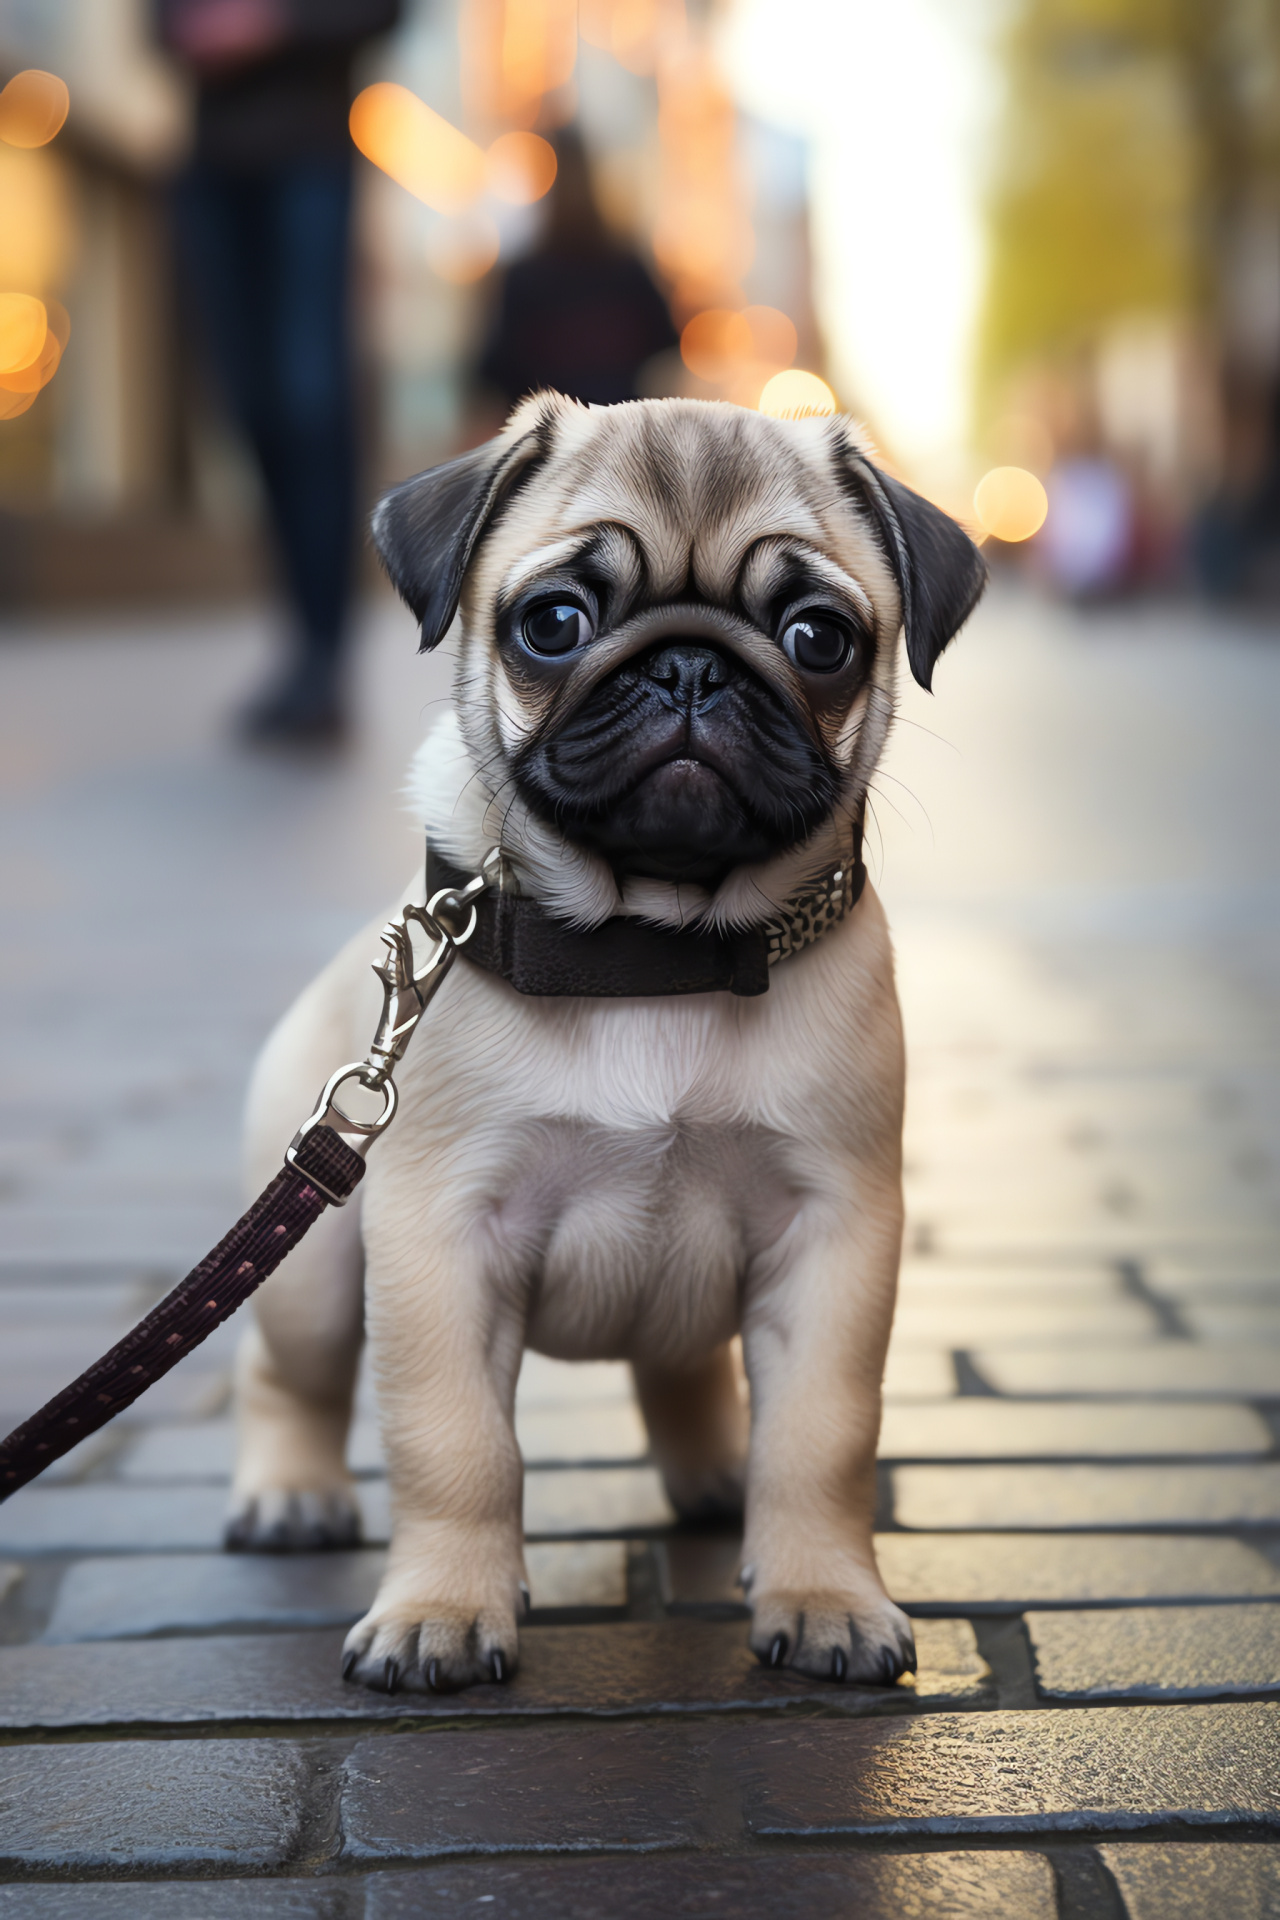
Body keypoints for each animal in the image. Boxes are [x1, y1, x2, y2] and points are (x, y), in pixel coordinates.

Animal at [230, 393, 990, 1697]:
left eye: (817, 637)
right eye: (554, 622)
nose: (688, 664)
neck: (652, 950)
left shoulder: (830, 1236)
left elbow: (822, 1435)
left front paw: (823, 1597)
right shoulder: (440, 1240)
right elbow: (454, 1445)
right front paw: (442, 1611)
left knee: (686, 1370)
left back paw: (717, 1476)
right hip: (315, 1273)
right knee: (288, 1373)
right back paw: (288, 1495)